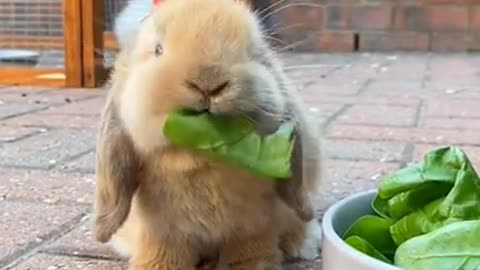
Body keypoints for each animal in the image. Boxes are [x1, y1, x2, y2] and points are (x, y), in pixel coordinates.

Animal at [94, 0, 324, 268]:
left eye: (254, 53)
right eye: (158, 50)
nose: (209, 82)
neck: (203, 160)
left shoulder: (254, 224)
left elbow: (250, 251)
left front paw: (253, 265)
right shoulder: (163, 231)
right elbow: (163, 254)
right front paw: (153, 265)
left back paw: (303, 243)